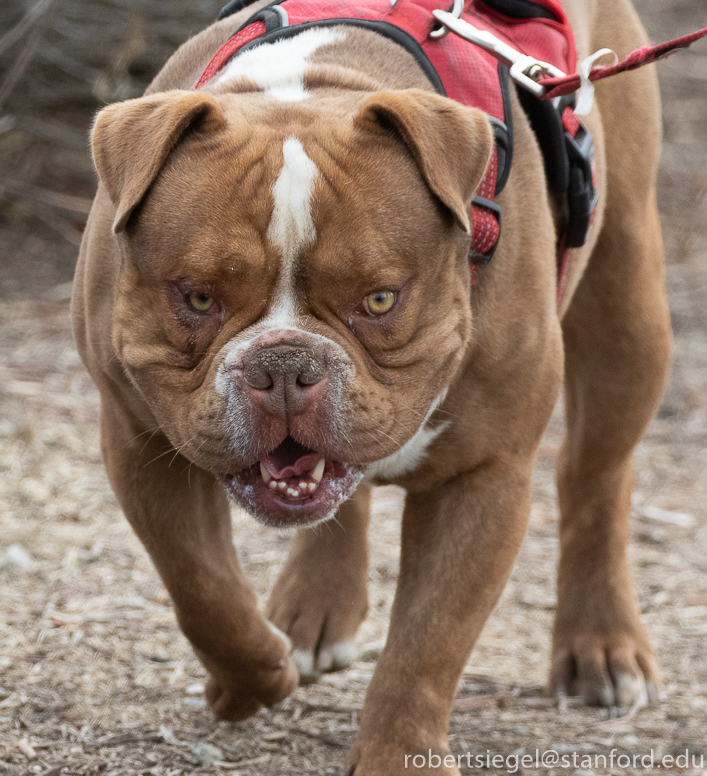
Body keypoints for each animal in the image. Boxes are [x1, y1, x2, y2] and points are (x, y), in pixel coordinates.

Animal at [73, 0, 676, 768]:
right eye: (199, 297)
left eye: (381, 299)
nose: (285, 365)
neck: (319, 82)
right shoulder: (140, 438)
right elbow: (202, 588)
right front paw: (253, 681)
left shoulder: (482, 473)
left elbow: (429, 639)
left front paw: (397, 754)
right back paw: (311, 613)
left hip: (628, 304)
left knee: (595, 478)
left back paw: (602, 646)